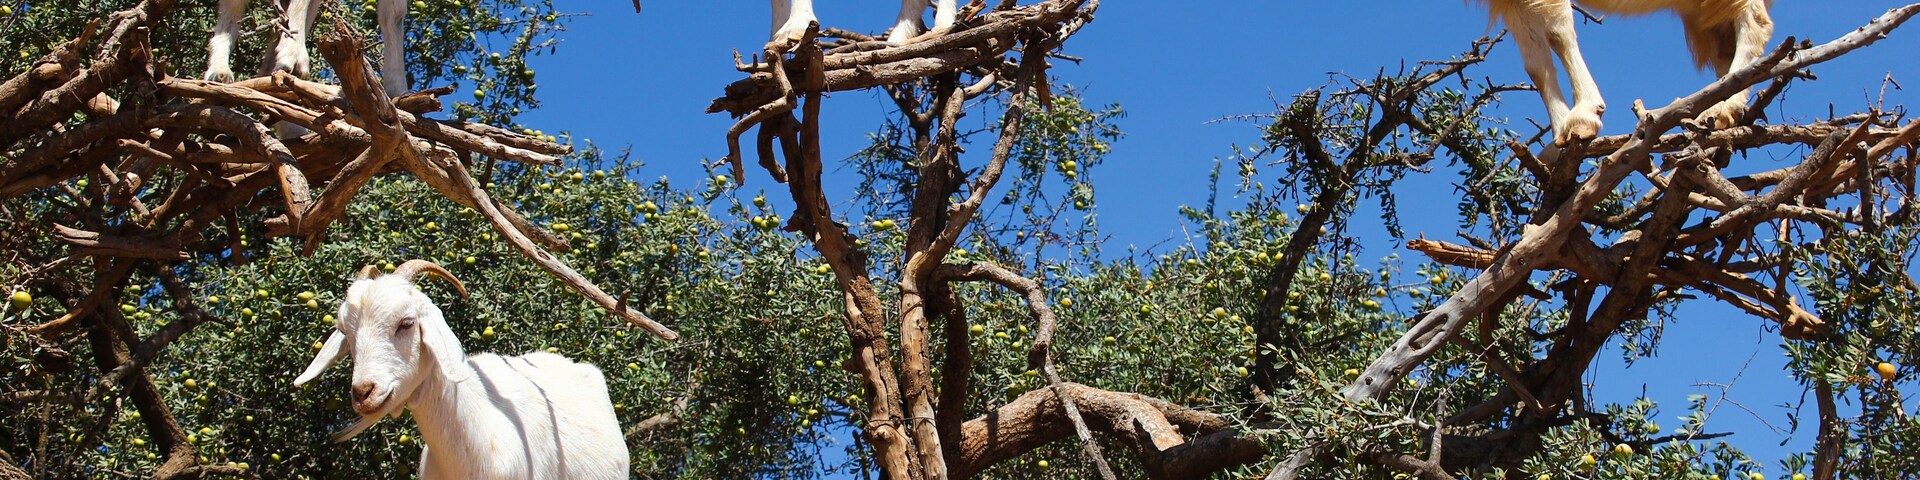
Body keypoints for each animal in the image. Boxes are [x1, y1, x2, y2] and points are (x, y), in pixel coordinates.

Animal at [1479, 0, 1773, 145]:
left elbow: (1557, 33)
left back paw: (1723, 108)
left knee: (1755, 22)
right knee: (1725, 45)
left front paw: (1584, 115)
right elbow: (1535, 63)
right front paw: (1559, 134)